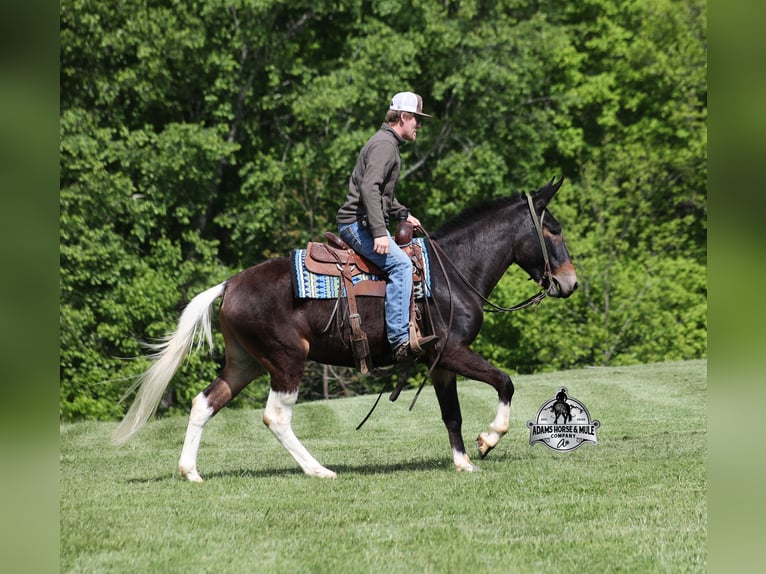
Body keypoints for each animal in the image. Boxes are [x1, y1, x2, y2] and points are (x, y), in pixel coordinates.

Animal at [112, 176, 578, 480]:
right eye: (553, 229)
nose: (570, 283)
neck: (452, 274)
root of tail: (229, 284)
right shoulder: (452, 351)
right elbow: (505, 382)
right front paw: (488, 440)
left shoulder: (440, 363)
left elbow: (452, 414)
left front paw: (462, 461)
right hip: (287, 360)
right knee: (275, 416)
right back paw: (318, 470)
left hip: (244, 363)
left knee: (204, 402)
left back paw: (190, 471)